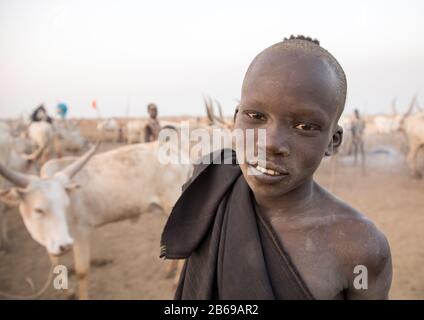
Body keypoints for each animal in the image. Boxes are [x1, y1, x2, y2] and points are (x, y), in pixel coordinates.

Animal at [0, 141, 192, 298]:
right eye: (38, 210)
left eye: (65, 204)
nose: (64, 245)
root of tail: (180, 154)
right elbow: (55, 264)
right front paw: (66, 291)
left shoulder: (81, 233)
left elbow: (82, 271)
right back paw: (168, 271)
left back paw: (175, 281)